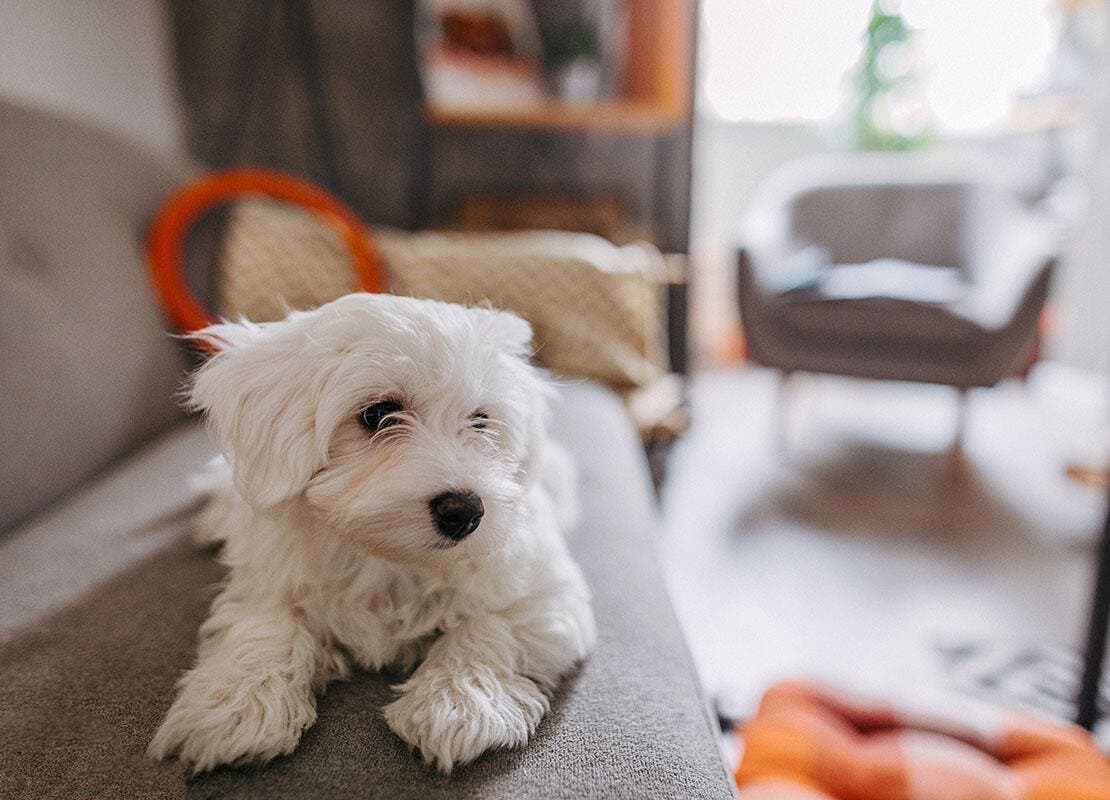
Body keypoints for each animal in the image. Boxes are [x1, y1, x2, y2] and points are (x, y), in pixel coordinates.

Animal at [150, 292, 599, 772]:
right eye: (379, 414)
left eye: (481, 421)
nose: (465, 511)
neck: (387, 557)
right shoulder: (268, 577)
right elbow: (266, 623)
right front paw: (237, 704)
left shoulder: (544, 590)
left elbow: (492, 624)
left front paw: (458, 704)